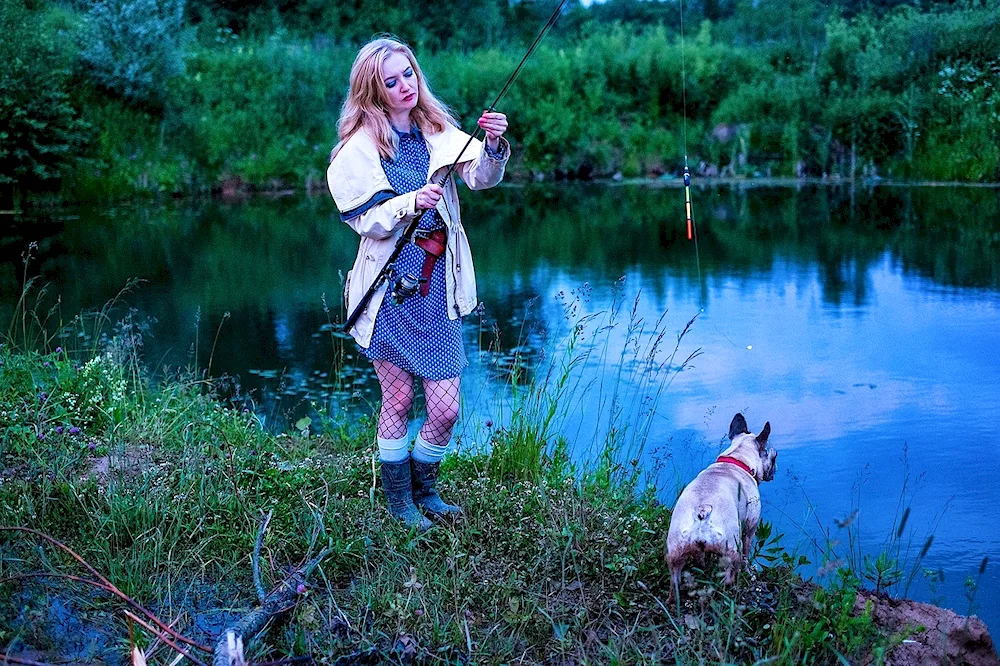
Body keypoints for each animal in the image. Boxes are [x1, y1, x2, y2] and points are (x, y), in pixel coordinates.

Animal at [668, 410, 776, 592]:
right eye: (774, 457)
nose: (775, 470)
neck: (737, 459)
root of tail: (703, 510)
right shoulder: (750, 528)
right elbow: (747, 554)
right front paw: (748, 571)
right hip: (732, 549)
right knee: (730, 574)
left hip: (676, 553)